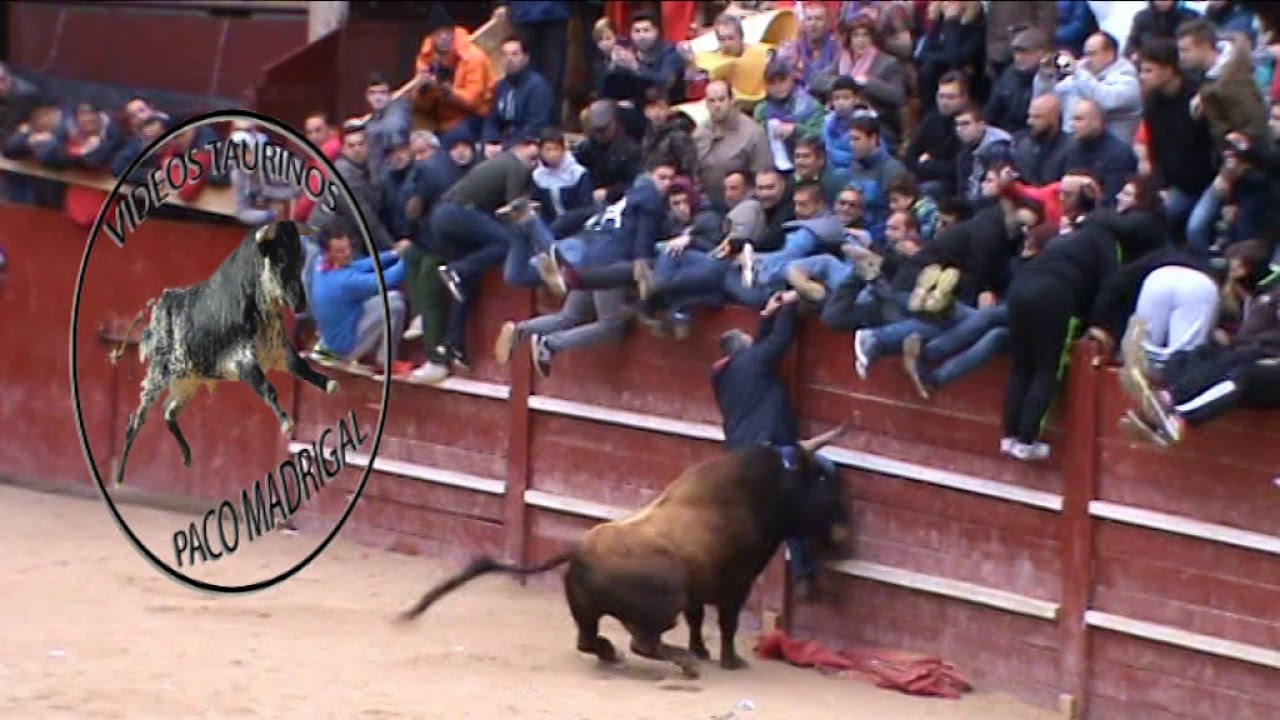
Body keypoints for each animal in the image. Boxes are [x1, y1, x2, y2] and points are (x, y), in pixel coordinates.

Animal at [396, 425, 860, 676]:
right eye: (820, 481)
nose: (843, 533)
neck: (758, 494)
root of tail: (578, 551)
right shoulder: (736, 584)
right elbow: (725, 623)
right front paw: (726, 660)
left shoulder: (701, 588)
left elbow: (698, 620)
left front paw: (702, 650)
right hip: (663, 603)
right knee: (643, 642)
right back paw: (681, 664)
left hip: (586, 610)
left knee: (590, 640)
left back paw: (616, 654)